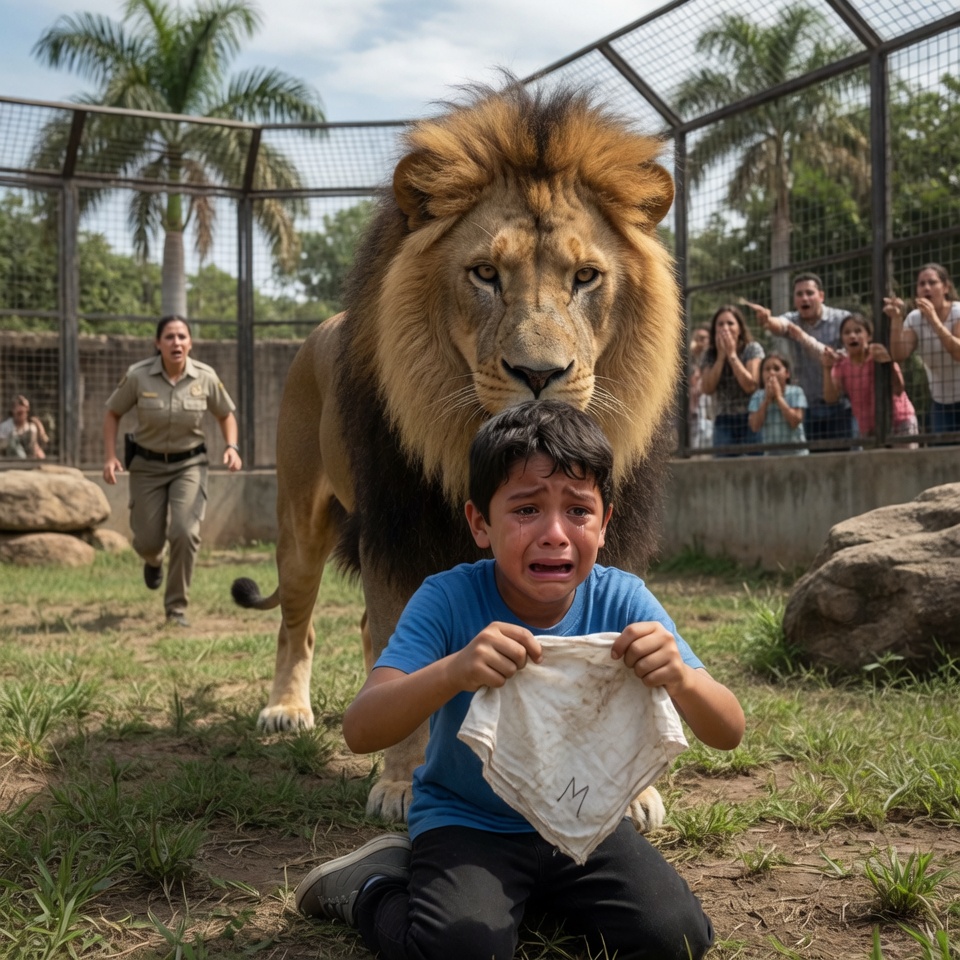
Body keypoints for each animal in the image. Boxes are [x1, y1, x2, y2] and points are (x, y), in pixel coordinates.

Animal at [232, 80, 682, 831]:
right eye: (485, 274)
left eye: (586, 277)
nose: (539, 373)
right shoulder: (398, 533)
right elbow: (404, 653)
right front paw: (403, 782)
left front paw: (636, 793)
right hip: (299, 520)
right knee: (298, 623)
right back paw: (286, 709)